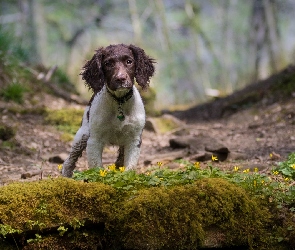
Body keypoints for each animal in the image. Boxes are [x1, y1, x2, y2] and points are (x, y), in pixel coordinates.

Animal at [61, 44, 156, 177]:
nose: (121, 78)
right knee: (71, 158)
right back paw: (66, 174)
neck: (119, 102)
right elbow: (97, 168)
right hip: (82, 134)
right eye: (108, 63)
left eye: (129, 61)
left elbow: (129, 168)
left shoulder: (134, 139)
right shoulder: (94, 140)